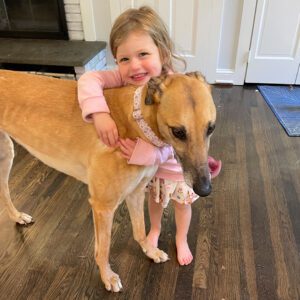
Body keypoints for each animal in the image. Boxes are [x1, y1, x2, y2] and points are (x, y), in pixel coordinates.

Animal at [0, 69, 216, 290]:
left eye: (211, 128)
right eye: (178, 132)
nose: (205, 189)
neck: (138, 121)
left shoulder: (135, 192)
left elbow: (140, 230)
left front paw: (150, 251)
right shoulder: (103, 206)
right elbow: (103, 249)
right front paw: (108, 277)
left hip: (6, 154)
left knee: (4, 191)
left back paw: (17, 216)